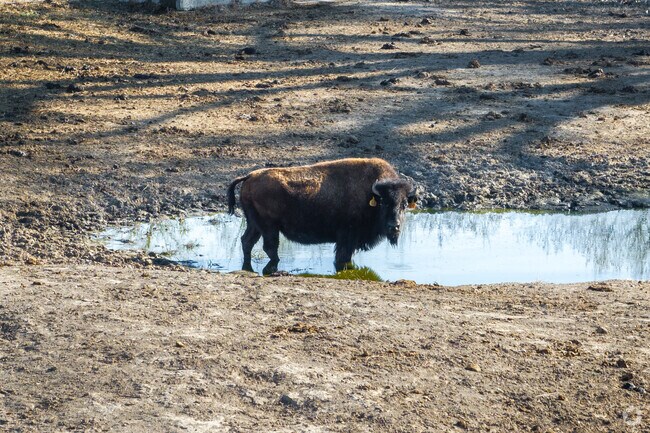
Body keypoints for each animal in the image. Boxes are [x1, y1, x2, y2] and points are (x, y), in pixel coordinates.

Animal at [227, 158, 417, 274]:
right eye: (384, 202)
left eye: (404, 204)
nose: (394, 226)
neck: (370, 194)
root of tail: (249, 176)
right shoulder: (346, 238)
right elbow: (342, 258)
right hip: (269, 227)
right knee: (269, 247)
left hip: (254, 224)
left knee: (247, 241)